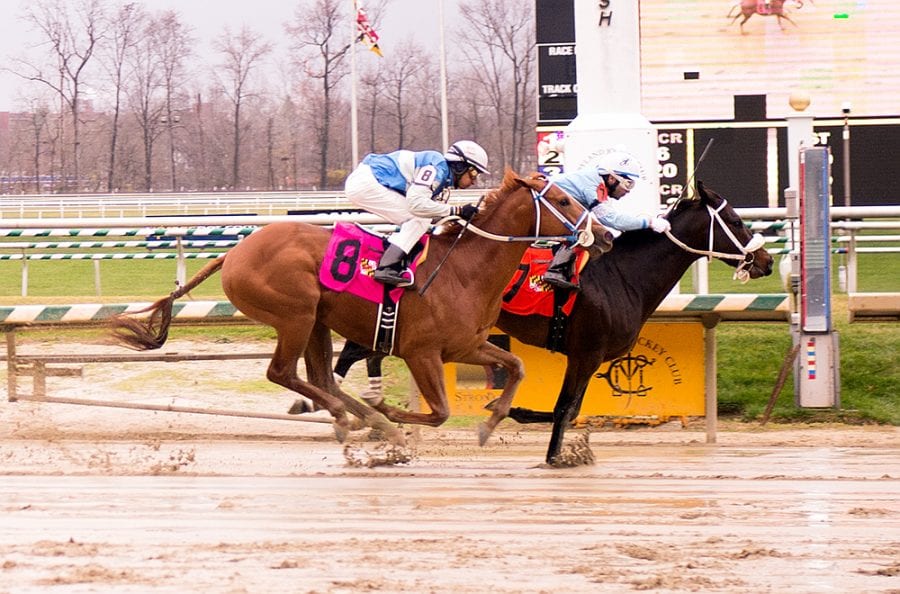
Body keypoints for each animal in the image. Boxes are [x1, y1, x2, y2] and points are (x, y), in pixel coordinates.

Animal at [107, 169, 612, 446]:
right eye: (563, 199)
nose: (605, 235)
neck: (464, 268)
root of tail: (234, 253)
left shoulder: (464, 346)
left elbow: (517, 367)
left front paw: (488, 423)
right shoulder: (422, 352)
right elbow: (439, 412)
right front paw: (391, 414)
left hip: (316, 320)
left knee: (318, 377)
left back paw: (356, 417)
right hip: (295, 314)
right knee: (284, 373)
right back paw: (363, 418)